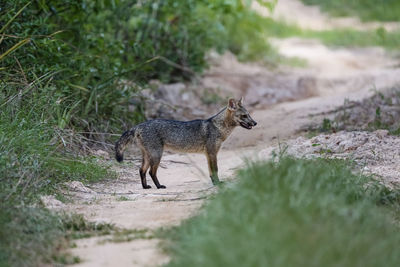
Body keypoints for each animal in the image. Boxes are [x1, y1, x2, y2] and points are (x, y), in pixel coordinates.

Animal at [114, 97, 258, 189]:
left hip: (148, 156)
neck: (218, 127)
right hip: (157, 155)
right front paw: (218, 184)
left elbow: (210, 171)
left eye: (249, 114)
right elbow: (215, 169)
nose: (255, 123)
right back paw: (159, 186)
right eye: (244, 116)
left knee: (141, 170)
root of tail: (138, 125)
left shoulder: (208, 154)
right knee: (151, 172)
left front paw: (214, 182)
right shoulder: (212, 152)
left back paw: (145, 187)